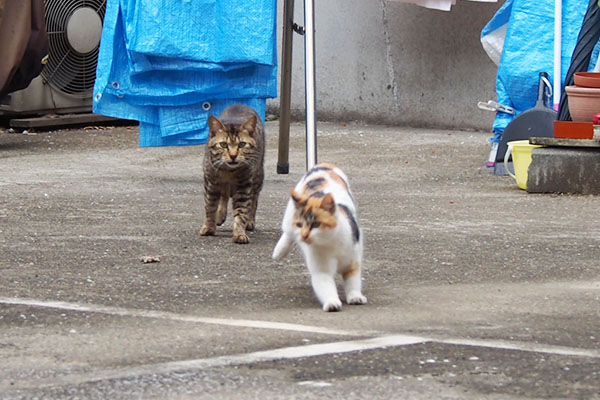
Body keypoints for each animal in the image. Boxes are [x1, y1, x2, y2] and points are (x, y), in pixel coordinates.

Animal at [200, 104, 264, 244]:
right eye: (223, 144)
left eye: (242, 144)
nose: (233, 155)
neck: (228, 171)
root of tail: (240, 104)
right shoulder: (210, 182)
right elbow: (210, 206)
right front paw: (209, 226)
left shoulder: (244, 186)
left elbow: (241, 211)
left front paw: (240, 233)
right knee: (224, 195)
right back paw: (220, 215)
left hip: (257, 176)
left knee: (254, 199)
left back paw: (250, 221)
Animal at [272, 162, 366, 312]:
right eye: (300, 225)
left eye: (316, 224)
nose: (304, 235)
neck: (331, 242)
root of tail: (324, 165)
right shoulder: (322, 271)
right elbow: (326, 286)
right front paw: (332, 302)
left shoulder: (352, 262)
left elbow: (353, 282)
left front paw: (355, 297)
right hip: (288, 217)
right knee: (287, 232)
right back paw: (279, 251)